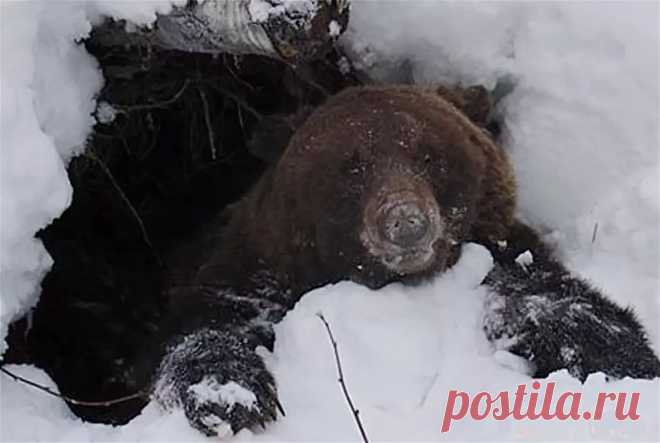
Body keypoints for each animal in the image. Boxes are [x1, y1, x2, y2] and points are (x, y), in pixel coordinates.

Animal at [147, 83, 656, 438]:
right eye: (351, 165)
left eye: (430, 156)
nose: (406, 222)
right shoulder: (251, 272)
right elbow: (210, 324)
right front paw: (228, 398)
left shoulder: (502, 256)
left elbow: (556, 304)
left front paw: (621, 360)